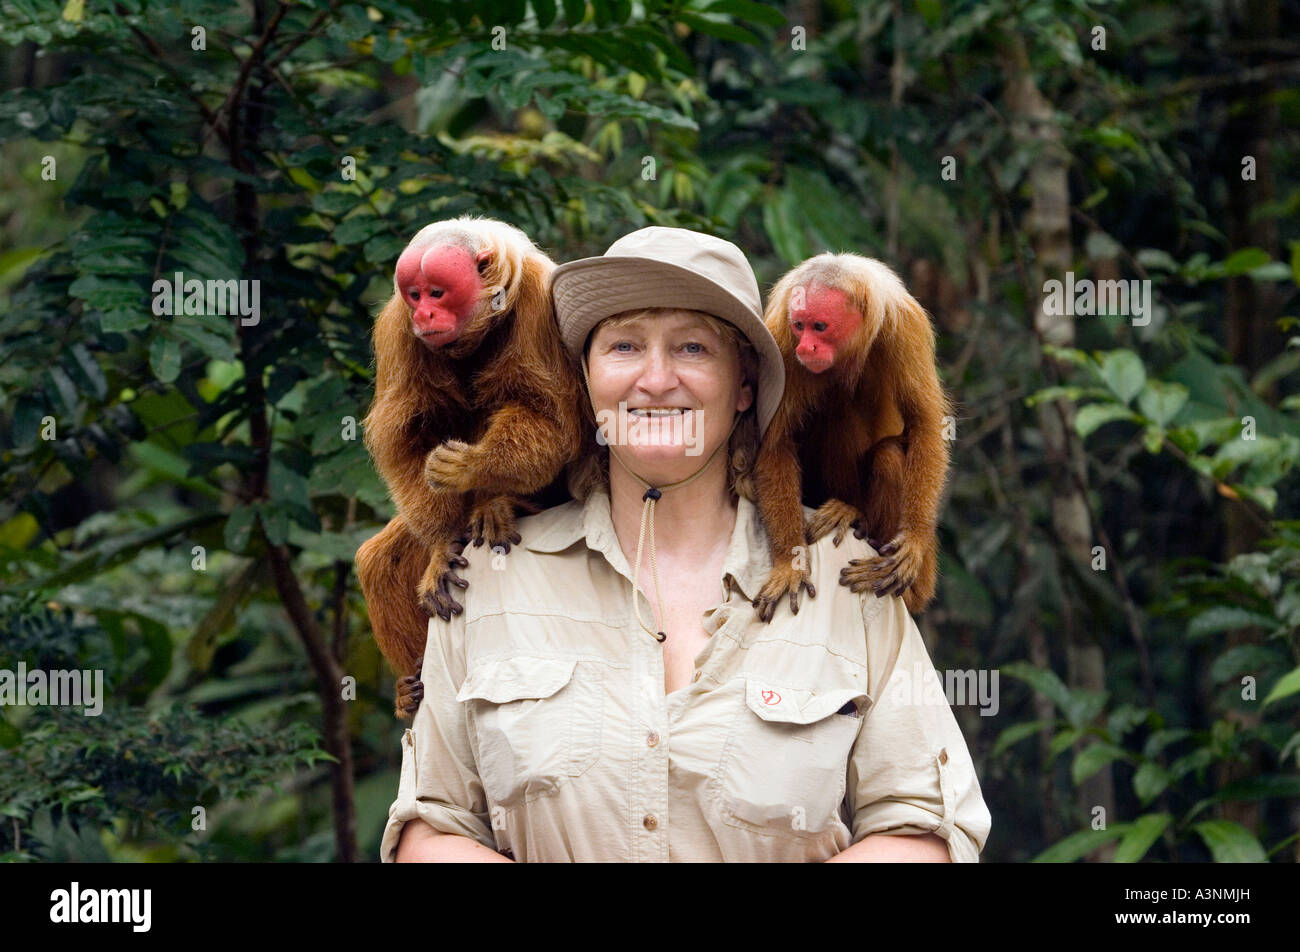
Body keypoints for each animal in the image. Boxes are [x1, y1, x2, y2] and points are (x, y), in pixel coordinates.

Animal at [353, 219, 582, 717]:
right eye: (415, 295)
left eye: (438, 293)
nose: (425, 315)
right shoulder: (398, 330)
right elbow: (407, 440)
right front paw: (441, 544)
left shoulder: (539, 304)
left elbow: (549, 420)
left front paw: (476, 471)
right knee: (380, 561)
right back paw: (412, 687)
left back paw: (502, 503)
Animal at [748, 254, 951, 624]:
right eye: (799, 326)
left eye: (820, 327)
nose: (806, 347)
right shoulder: (781, 342)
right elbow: (774, 442)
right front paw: (789, 564)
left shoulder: (906, 329)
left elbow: (926, 425)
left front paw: (914, 538)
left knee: (887, 455)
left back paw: (861, 522)